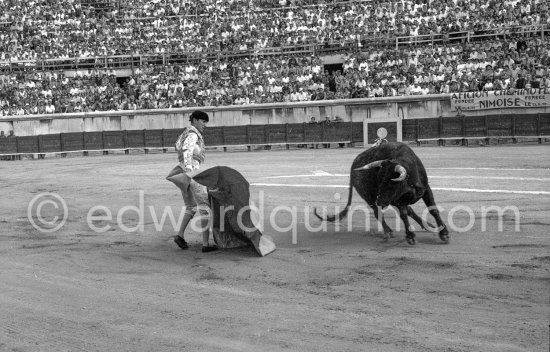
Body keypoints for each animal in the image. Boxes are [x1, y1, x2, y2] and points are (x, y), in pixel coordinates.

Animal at [316, 142, 450, 243]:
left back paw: (428, 225)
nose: (379, 201)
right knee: (377, 213)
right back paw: (388, 231)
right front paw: (410, 236)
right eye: (379, 180)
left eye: (391, 182)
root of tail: (352, 168)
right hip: (369, 197)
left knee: (408, 210)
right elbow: (403, 214)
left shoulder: (426, 189)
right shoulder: (398, 200)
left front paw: (444, 233)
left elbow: (433, 210)